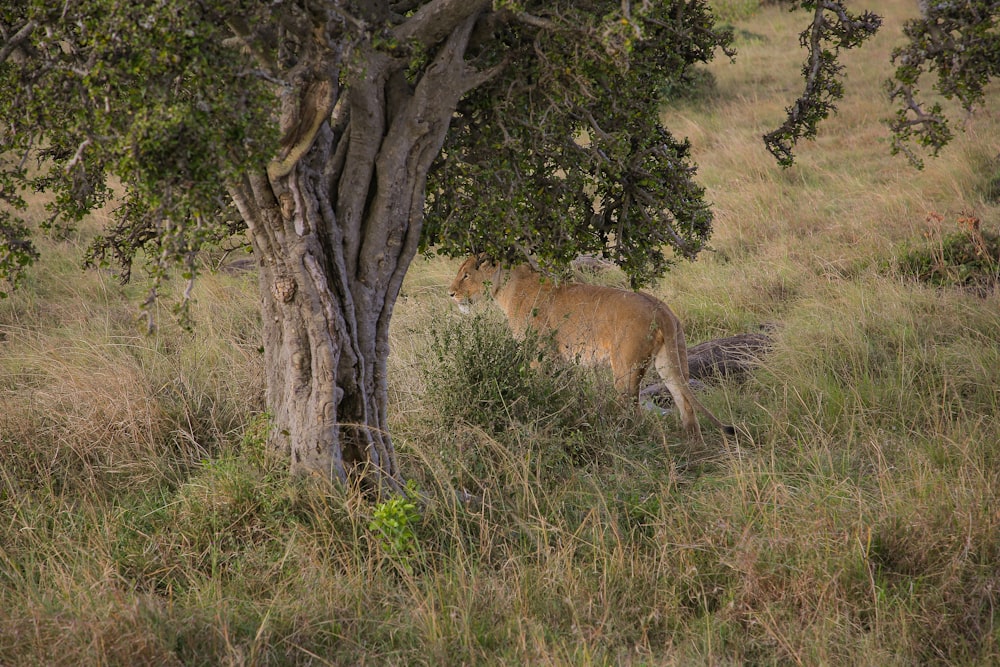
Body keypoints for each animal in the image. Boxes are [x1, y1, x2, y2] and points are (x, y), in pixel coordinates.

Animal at [448, 258, 736, 440]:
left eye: (466, 274)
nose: (450, 294)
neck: (505, 287)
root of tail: (660, 307)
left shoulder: (539, 354)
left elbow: (537, 389)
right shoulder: (558, 359)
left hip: (625, 367)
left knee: (633, 409)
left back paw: (625, 440)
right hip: (670, 361)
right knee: (685, 404)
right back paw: (693, 446)